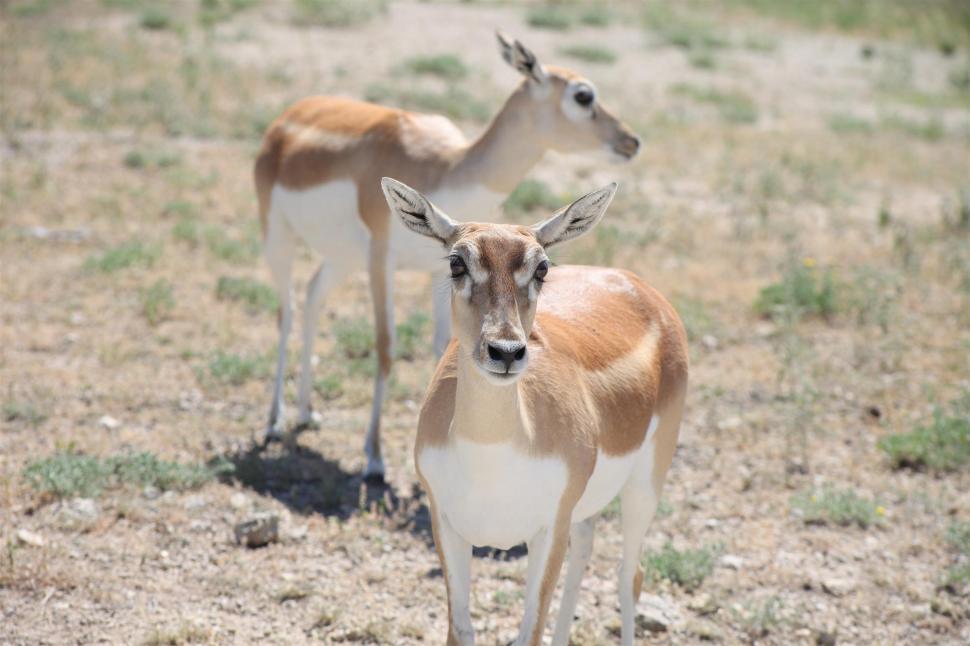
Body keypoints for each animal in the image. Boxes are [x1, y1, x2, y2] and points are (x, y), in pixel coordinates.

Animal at [253, 32, 640, 481]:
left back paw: (305, 413)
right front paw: (374, 458)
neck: (445, 167)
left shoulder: (432, 274)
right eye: (583, 95)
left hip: (342, 258)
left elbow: (442, 348)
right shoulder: (382, 257)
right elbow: (385, 346)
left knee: (314, 295)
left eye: (542, 268)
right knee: (287, 312)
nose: (632, 141)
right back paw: (274, 422)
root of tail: (290, 116)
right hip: (278, 239)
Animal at [380, 177, 688, 646]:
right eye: (456, 262)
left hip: (648, 478)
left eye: (541, 267)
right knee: (586, 548)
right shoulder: (446, 525)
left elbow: (529, 631)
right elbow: (460, 629)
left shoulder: (548, 528)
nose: (506, 351)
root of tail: (636, 284)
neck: (490, 459)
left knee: (628, 576)